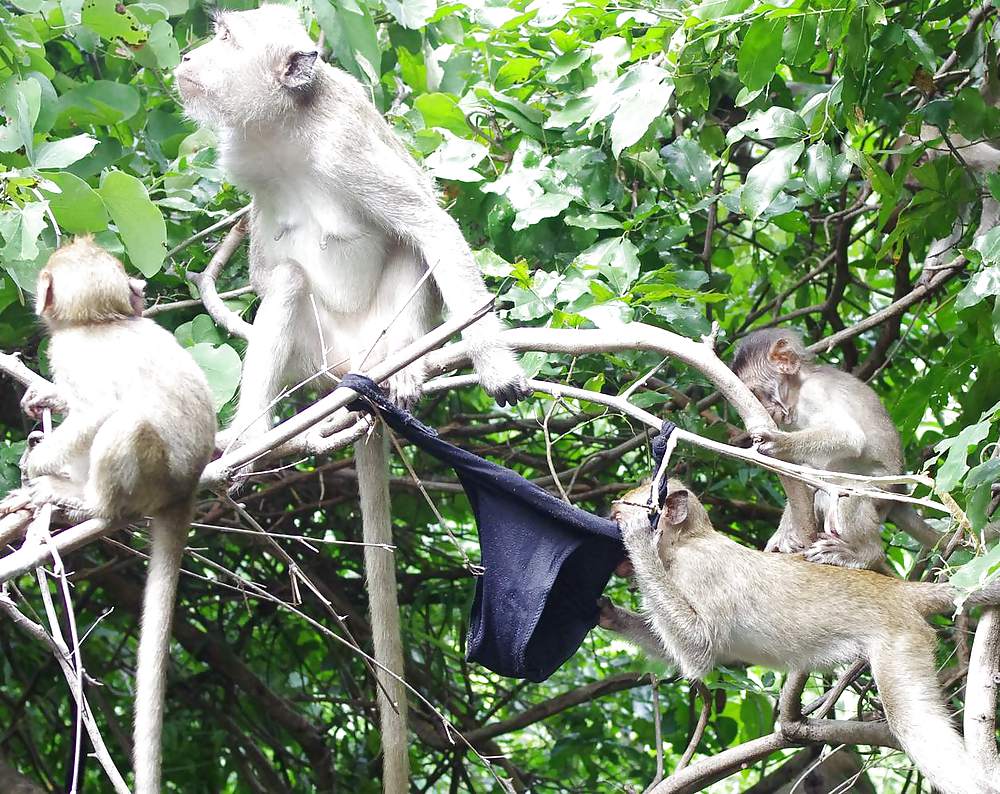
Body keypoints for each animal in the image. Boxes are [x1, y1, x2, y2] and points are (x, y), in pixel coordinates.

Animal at [0, 239, 217, 794]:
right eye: (126, 276)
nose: (141, 289)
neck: (99, 321)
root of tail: (186, 488)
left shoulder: (73, 352)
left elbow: (96, 412)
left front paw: (36, 464)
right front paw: (44, 399)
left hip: (153, 476)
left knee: (124, 422)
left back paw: (82, 499)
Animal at [174, 8, 528, 790]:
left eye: (224, 39)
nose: (185, 56)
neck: (287, 129)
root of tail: (350, 369)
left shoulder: (346, 140)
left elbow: (428, 226)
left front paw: (495, 362)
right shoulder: (245, 163)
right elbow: (267, 264)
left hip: (380, 337)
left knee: (407, 250)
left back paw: (404, 377)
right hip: (319, 356)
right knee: (288, 285)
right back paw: (253, 437)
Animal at [598, 480, 1000, 794]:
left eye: (615, 517)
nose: (611, 524)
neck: (685, 542)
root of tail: (898, 590)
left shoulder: (699, 571)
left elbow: (700, 650)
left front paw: (637, 537)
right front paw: (607, 614)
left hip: (900, 638)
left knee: (913, 724)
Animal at [730, 327, 919, 571]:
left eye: (755, 393)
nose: (764, 408)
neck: (798, 390)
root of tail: (901, 490)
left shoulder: (815, 393)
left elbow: (848, 436)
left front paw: (780, 443)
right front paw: (784, 534)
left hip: (882, 487)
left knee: (850, 492)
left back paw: (865, 555)